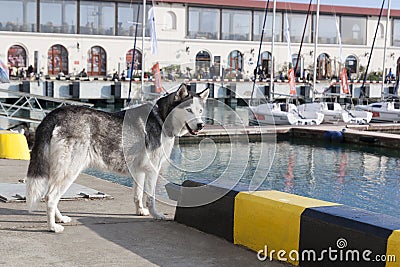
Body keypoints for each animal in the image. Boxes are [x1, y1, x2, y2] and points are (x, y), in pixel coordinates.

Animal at [26, 84, 209, 232]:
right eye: (189, 110)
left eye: (200, 111)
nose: (201, 125)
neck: (162, 118)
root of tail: (55, 113)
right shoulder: (152, 170)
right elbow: (150, 198)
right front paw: (156, 214)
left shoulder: (139, 171)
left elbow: (137, 195)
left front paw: (140, 211)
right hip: (69, 171)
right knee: (51, 197)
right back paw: (52, 227)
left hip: (59, 171)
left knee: (50, 196)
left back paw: (60, 218)